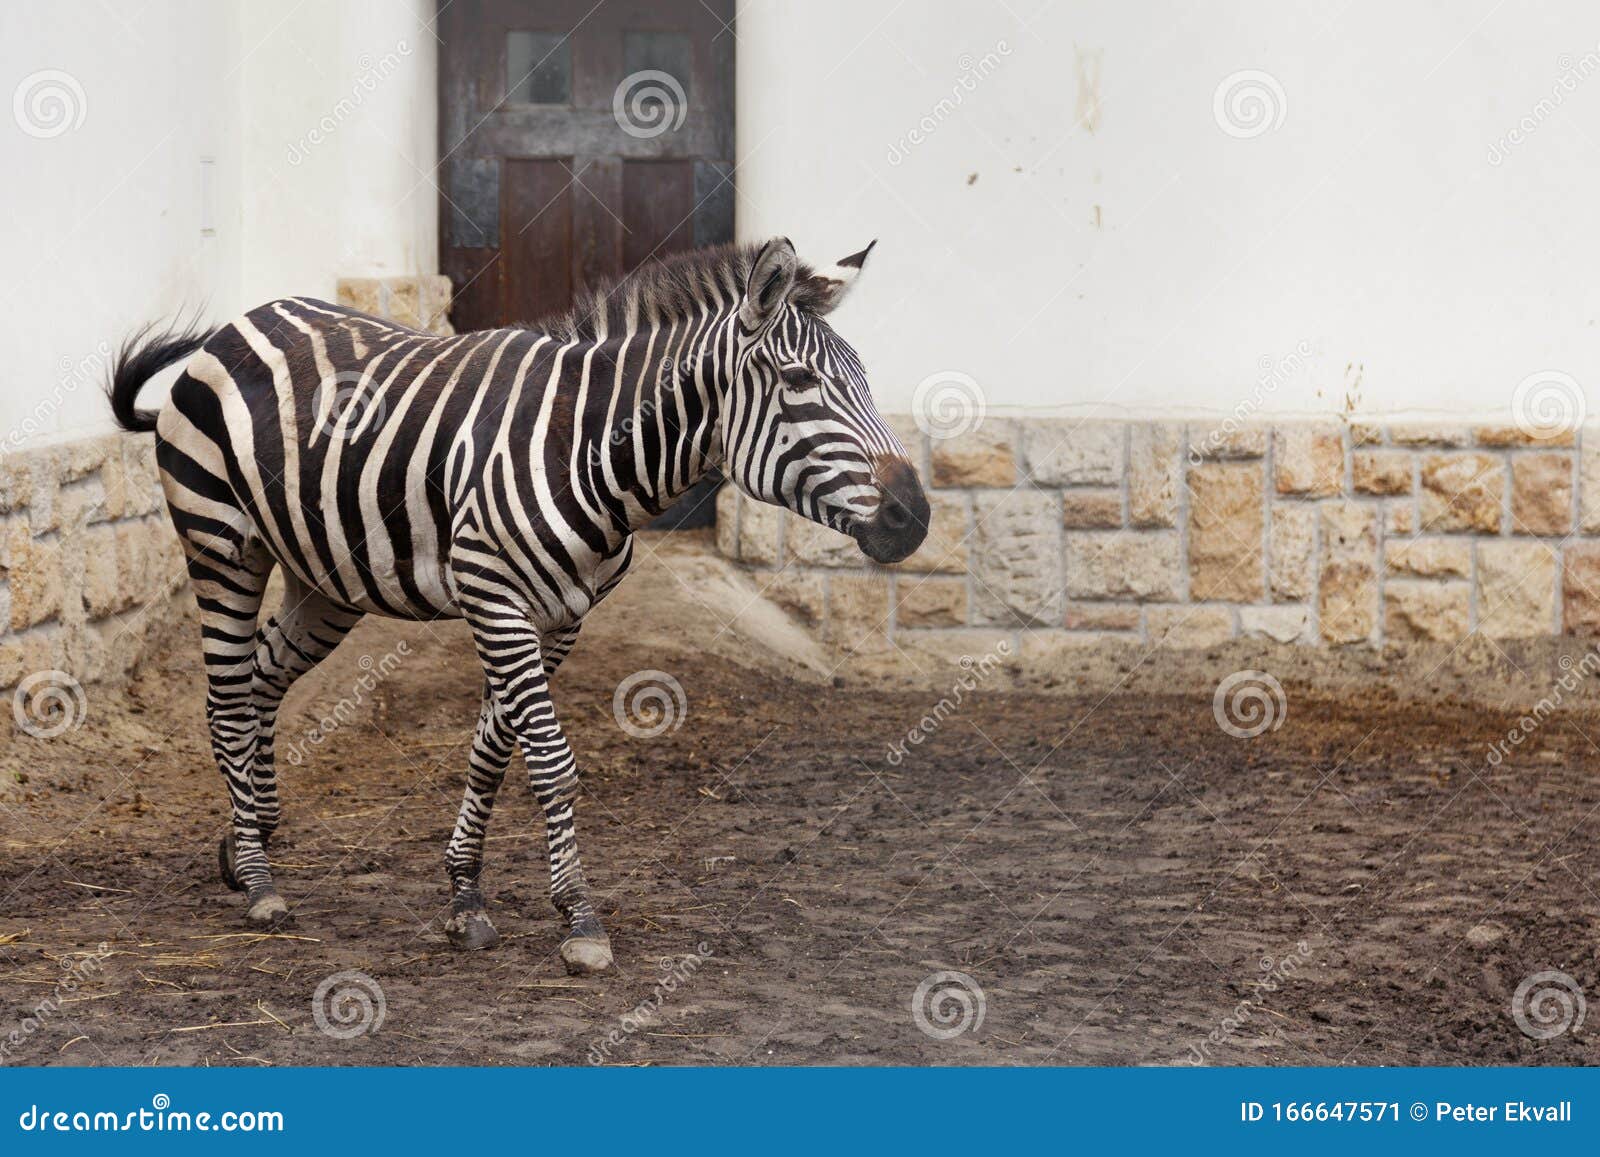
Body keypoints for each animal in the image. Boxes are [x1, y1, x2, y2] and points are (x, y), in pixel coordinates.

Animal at [106, 238, 929, 974]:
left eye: (864, 377)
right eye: (798, 379)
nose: (914, 517)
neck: (593, 449)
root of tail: (239, 324)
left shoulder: (561, 616)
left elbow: (495, 753)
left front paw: (465, 895)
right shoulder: (493, 594)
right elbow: (551, 762)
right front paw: (581, 920)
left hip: (327, 577)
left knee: (263, 677)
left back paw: (250, 835)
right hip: (223, 544)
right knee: (227, 697)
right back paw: (257, 879)